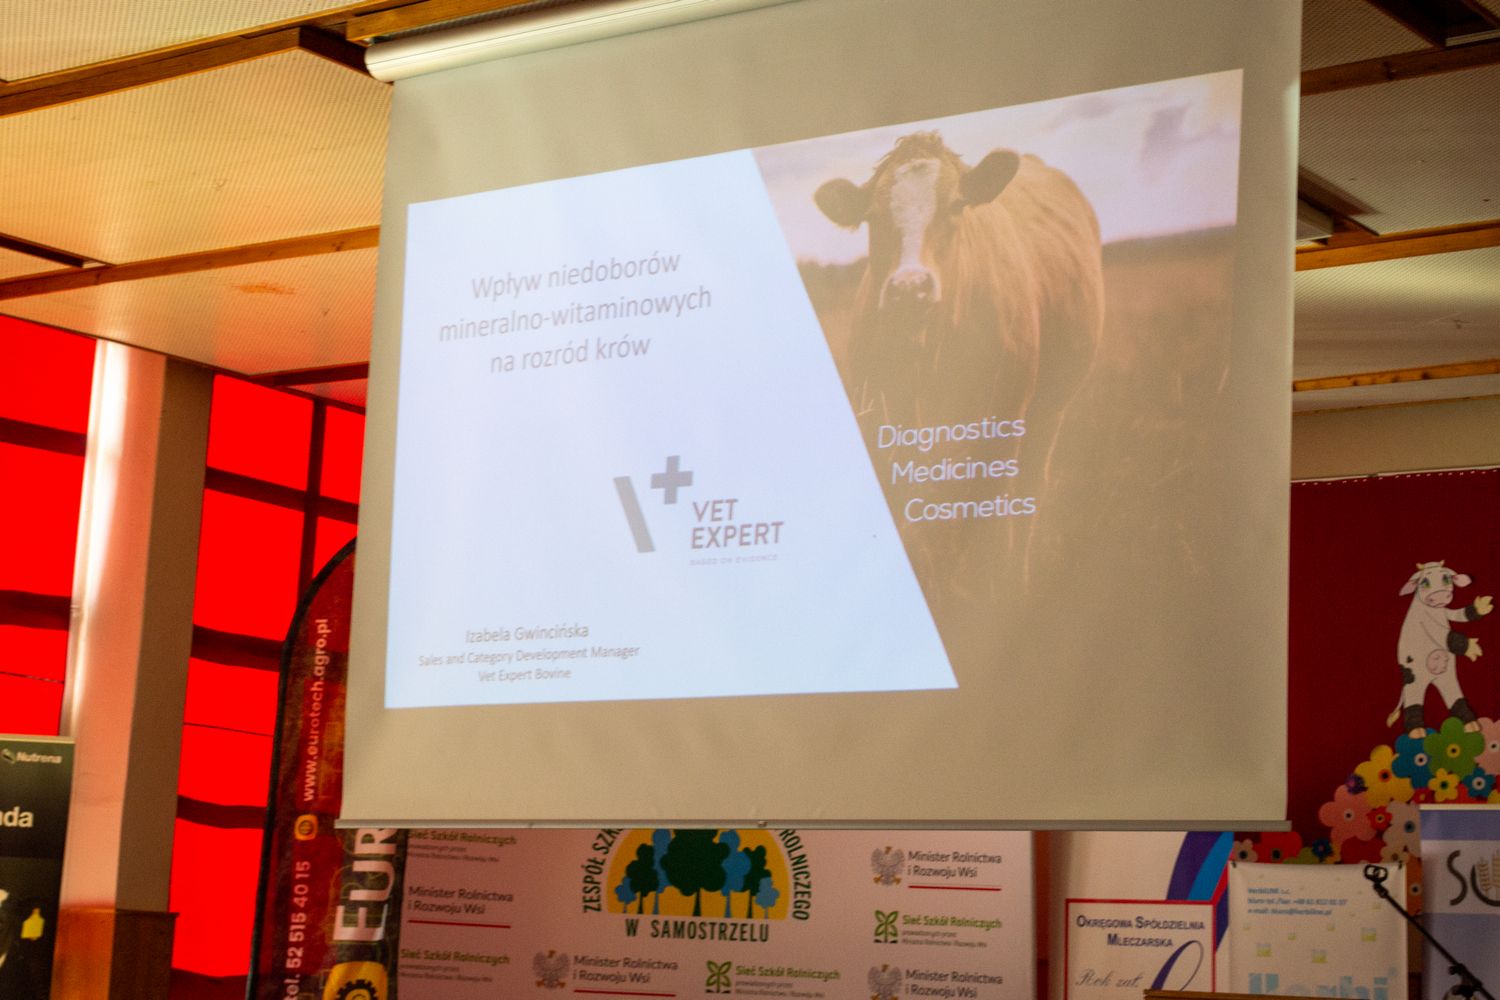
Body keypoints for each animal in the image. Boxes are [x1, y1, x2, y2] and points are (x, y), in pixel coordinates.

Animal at [813, 131, 1104, 598]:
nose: (910, 289)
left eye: (955, 205)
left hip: (1050, 411)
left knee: (1028, 488)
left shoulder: (1002, 419)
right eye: (873, 216)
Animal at [1386, 561, 1493, 737]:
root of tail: (1431, 678)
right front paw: (1473, 649)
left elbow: (1459, 615)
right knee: (1413, 700)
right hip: (1413, 678)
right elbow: (1443, 634)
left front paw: (1482, 606)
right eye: (1424, 582)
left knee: (1454, 696)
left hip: (1447, 676)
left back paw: (1471, 725)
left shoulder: (1445, 611)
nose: (1440, 596)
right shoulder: (1425, 621)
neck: (1434, 611)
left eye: (1446, 578)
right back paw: (1417, 732)